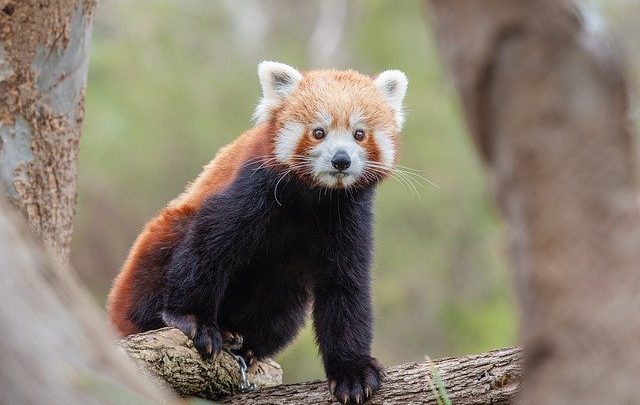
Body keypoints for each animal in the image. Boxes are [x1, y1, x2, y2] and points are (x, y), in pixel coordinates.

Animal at [104, 59, 404, 400]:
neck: (314, 198)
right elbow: (207, 246)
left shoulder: (348, 217)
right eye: (318, 132)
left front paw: (352, 371)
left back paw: (243, 344)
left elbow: (345, 286)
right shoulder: (253, 188)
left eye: (359, 134)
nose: (341, 160)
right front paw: (193, 320)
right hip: (151, 255)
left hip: (284, 294)